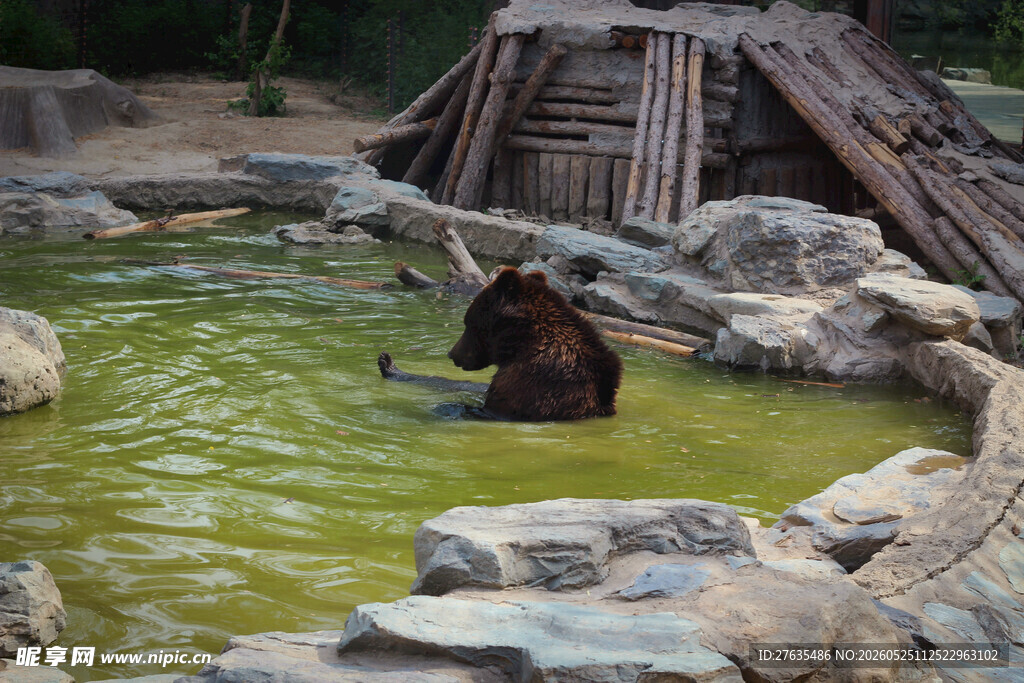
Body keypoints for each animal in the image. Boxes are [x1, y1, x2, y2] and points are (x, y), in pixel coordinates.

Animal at [378, 266, 622, 421]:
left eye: (468, 323)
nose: (452, 354)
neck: (520, 344)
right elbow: (467, 385)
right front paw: (390, 365)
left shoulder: (533, 381)